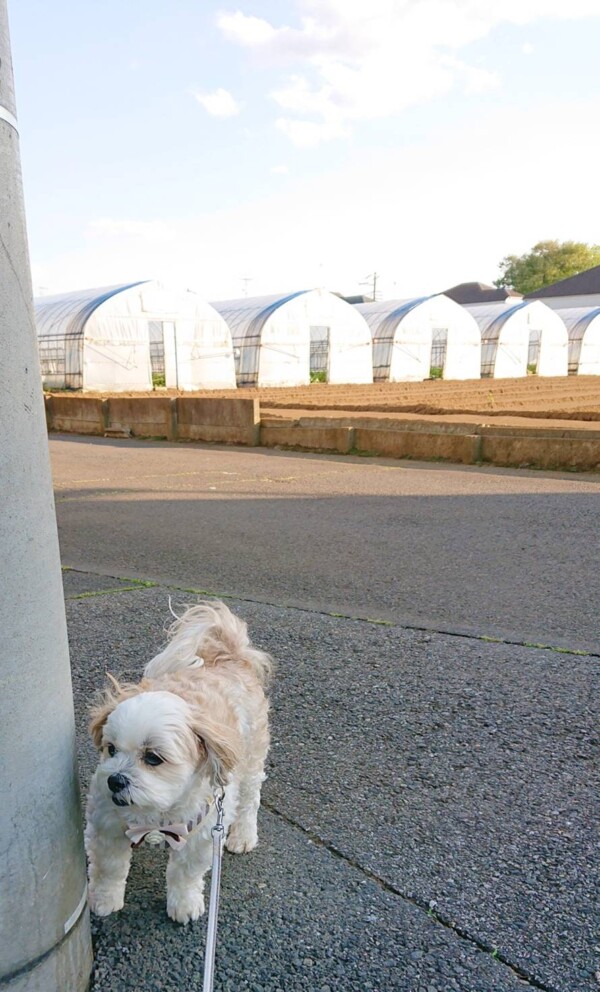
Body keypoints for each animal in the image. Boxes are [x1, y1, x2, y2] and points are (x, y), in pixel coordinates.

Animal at [84, 600, 272, 924]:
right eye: (111, 749)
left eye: (153, 758)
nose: (115, 779)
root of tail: (230, 656)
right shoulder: (106, 822)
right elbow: (109, 868)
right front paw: (105, 899)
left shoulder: (202, 828)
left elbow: (185, 873)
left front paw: (183, 904)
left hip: (250, 759)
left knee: (250, 800)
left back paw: (243, 835)